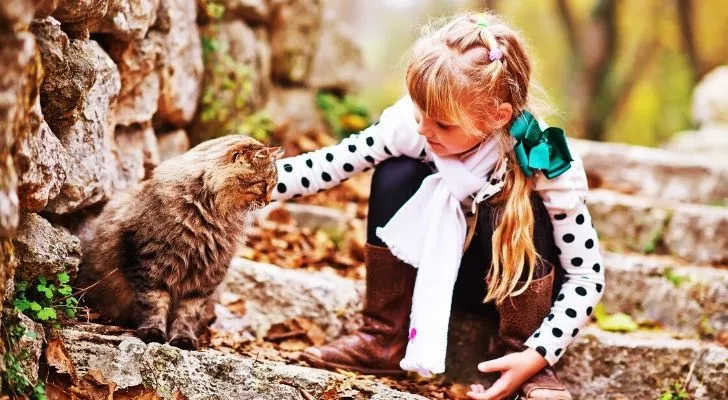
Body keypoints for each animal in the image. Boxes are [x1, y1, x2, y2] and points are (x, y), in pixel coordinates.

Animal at [78, 136, 280, 348]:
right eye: (263, 184)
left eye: (273, 185)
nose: (268, 202)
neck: (209, 215)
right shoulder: (151, 264)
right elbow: (153, 303)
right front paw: (153, 333)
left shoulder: (205, 278)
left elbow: (189, 313)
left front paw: (184, 339)